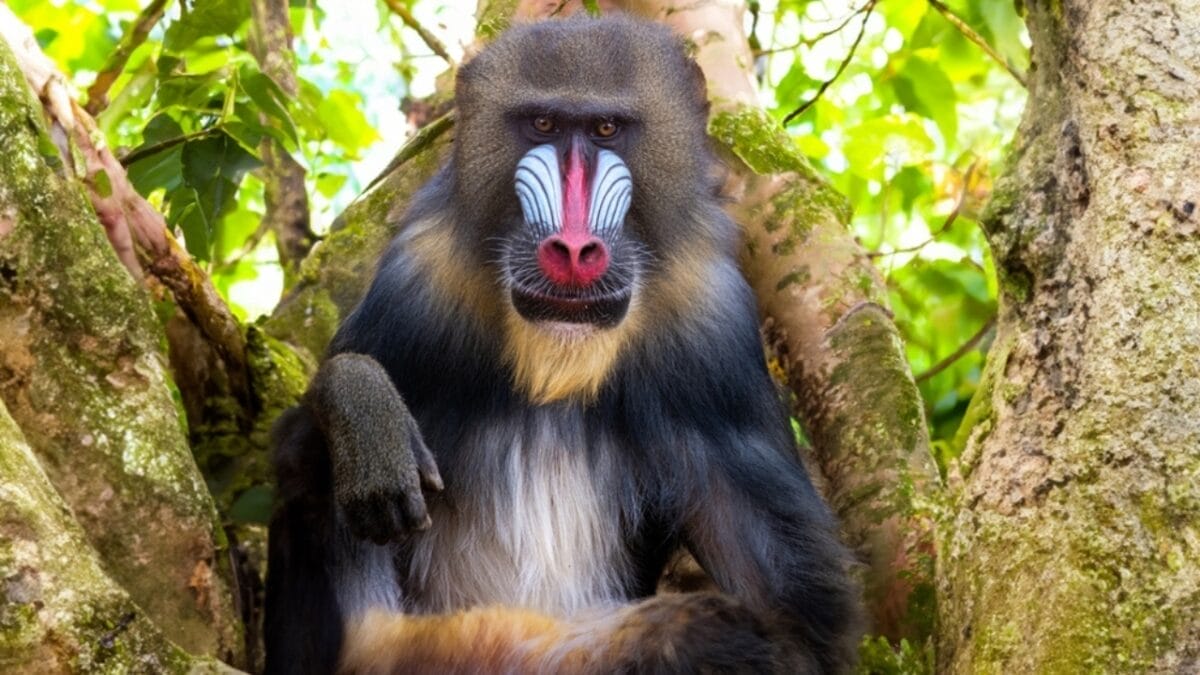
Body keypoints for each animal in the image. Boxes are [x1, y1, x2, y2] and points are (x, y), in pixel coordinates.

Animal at [265, 14, 861, 675]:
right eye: (544, 125)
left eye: (606, 129)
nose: (573, 251)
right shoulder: (418, 281)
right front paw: (360, 404)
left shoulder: (715, 326)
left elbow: (792, 618)